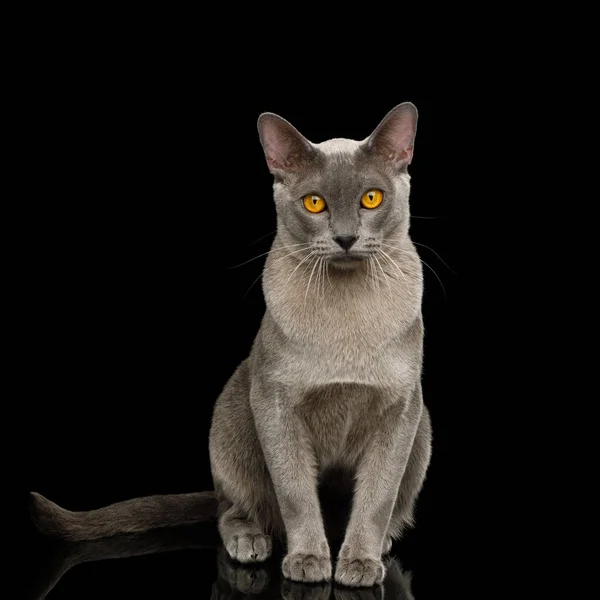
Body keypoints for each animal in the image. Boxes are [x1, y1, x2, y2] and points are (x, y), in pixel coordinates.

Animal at [30, 102, 432, 584]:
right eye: (314, 203)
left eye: (371, 198)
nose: (346, 237)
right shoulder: (274, 402)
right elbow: (295, 492)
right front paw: (308, 560)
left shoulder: (400, 408)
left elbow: (376, 498)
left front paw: (359, 563)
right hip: (234, 411)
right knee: (231, 507)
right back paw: (250, 541)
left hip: (423, 431)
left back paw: (382, 542)